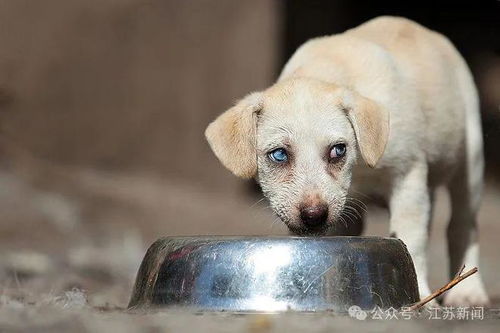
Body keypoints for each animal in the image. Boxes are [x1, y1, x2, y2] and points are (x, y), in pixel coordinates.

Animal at [205, 16, 490, 304]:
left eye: (338, 150)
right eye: (279, 154)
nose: (314, 216)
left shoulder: (407, 176)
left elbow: (412, 239)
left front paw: (421, 294)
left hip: (470, 162)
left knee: (462, 226)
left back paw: (467, 291)